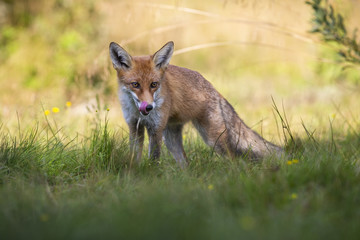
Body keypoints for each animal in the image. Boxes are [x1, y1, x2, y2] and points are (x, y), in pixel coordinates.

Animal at [108, 41, 282, 168]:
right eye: (135, 85)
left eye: (154, 84)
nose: (149, 107)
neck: (138, 112)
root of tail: (215, 90)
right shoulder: (134, 127)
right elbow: (134, 156)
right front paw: (135, 172)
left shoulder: (155, 129)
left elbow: (154, 158)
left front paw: (151, 175)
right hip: (171, 139)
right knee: (185, 164)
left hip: (213, 139)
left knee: (233, 158)